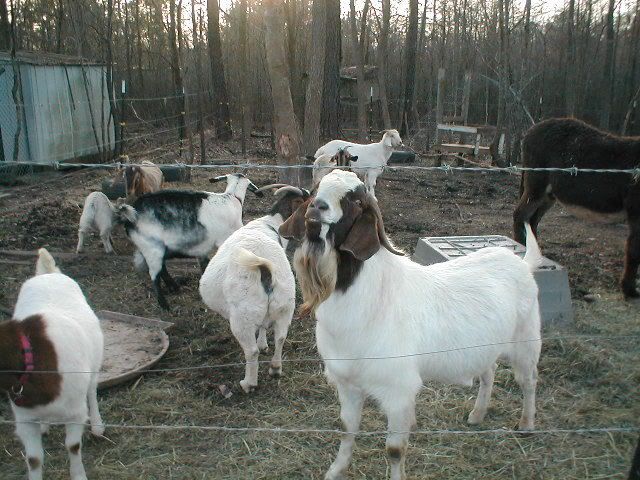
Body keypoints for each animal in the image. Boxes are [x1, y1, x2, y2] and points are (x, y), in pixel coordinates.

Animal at [0, 249, 104, 480]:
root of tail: (48, 273)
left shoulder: (75, 412)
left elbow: (73, 446)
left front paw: (79, 475)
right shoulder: (25, 419)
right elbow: (34, 459)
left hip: (95, 361)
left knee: (92, 389)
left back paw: (98, 426)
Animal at [116, 173, 263, 309]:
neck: (232, 198)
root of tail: (131, 216)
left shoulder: (203, 249)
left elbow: (204, 265)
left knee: (161, 269)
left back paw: (174, 288)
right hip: (151, 247)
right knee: (154, 275)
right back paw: (165, 305)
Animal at [199, 184, 310, 392]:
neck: (270, 223)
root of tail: (265, 266)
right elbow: (265, 326)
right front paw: (264, 344)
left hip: (242, 315)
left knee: (251, 351)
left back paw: (248, 383)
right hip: (285, 304)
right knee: (281, 337)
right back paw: (275, 369)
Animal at [280, 170, 542, 480]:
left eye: (356, 200)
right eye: (315, 189)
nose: (317, 208)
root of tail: (522, 263)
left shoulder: (399, 391)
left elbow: (394, 449)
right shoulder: (347, 385)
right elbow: (346, 429)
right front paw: (335, 471)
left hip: (526, 342)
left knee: (528, 380)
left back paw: (526, 425)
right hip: (484, 347)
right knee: (488, 373)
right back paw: (477, 415)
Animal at [513, 117, 640, 299]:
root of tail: (533, 128)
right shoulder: (636, 212)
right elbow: (634, 249)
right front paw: (629, 290)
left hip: (548, 195)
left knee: (532, 220)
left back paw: (532, 249)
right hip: (537, 185)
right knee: (520, 215)